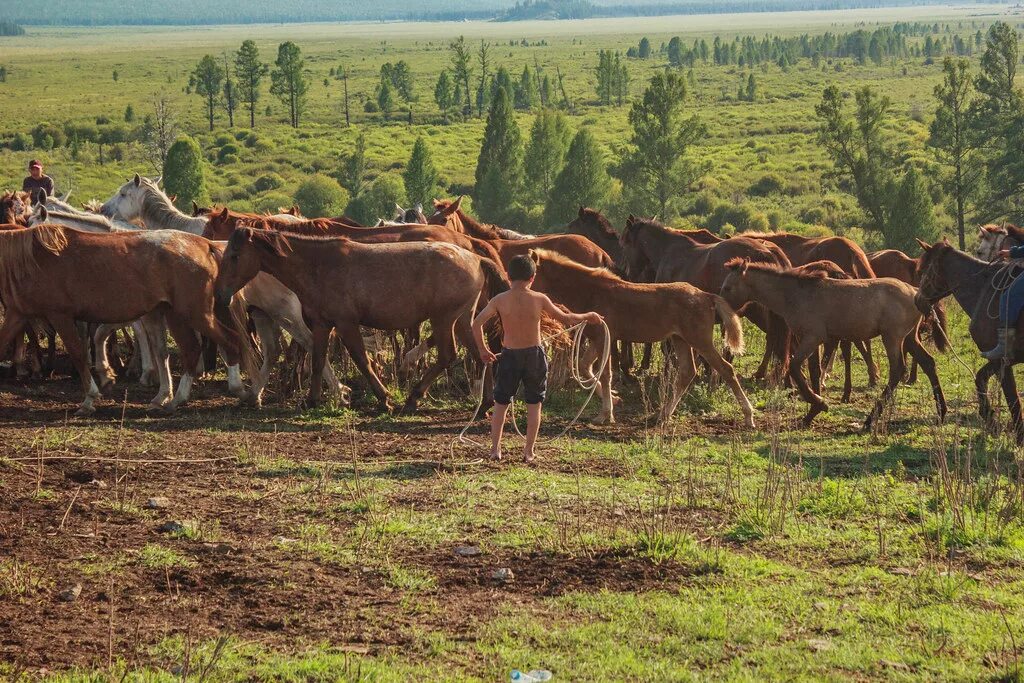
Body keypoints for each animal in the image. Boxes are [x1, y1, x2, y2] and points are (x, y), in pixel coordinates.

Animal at [0, 227, 253, 413]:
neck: (31, 260)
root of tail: (204, 244)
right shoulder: (16, 314)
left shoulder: (60, 315)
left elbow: (79, 355)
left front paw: (90, 399)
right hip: (173, 314)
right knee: (182, 350)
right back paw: (169, 398)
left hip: (194, 314)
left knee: (225, 342)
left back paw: (233, 390)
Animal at [214, 228, 509, 411]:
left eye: (235, 255)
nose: (221, 294)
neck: (318, 265)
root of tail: (475, 258)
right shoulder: (322, 325)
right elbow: (318, 359)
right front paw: (312, 399)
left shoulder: (346, 324)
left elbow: (362, 360)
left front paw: (384, 399)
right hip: (462, 321)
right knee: (482, 355)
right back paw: (484, 405)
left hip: (444, 320)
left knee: (448, 356)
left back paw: (413, 398)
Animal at [528, 245, 753, 428]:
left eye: (532, 275)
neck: (592, 291)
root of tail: (707, 296)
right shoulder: (599, 339)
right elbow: (585, 367)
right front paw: (614, 400)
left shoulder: (604, 338)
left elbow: (605, 374)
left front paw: (605, 415)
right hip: (680, 340)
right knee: (687, 372)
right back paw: (662, 415)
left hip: (700, 341)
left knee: (725, 369)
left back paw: (748, 416)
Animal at [720, 259, 942, 430]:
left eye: (727, 287)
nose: (720, 310)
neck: (795, 294)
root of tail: (915, 291)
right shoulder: (809, 340)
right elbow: (814, 372)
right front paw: (811, 413)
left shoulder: (812, 338)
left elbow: (794, 367)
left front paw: (819, 404)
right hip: (910, 339)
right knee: (928, 362)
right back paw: (941, 411)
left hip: (892, 338)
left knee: (897, 370)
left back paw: (870, 419)